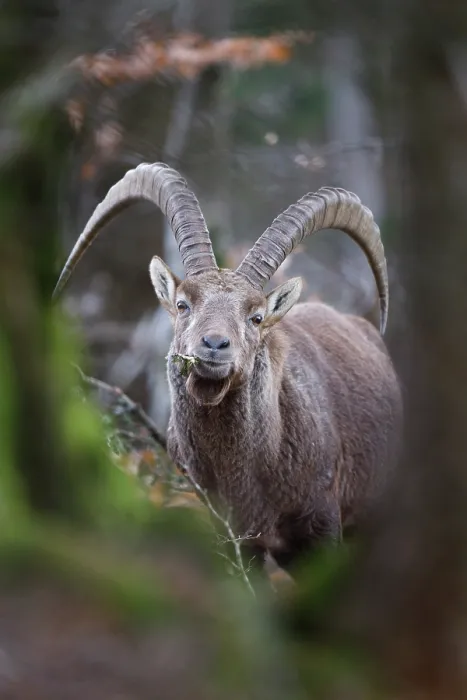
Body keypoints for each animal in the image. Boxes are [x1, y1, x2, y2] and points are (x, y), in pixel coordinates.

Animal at [54, 163, 402, 572]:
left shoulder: (322, 527)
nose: (215, 345)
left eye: (256, 317)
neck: (249, 473)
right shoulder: (236, 540)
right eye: (183, 303)